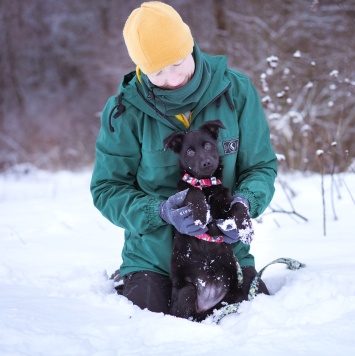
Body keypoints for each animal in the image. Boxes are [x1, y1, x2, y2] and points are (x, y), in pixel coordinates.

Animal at [163, 119, 245, 320]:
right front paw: (201, 213)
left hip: (236, 293)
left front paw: (245, 226)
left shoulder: (225, 201)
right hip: (187, 290)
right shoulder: (180, 198)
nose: (206, 163)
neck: (207, 185)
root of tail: (206, 303)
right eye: (190, 152)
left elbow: (237, 205)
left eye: (207, 145)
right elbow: (192, 190)